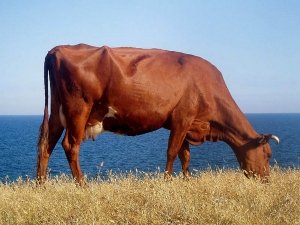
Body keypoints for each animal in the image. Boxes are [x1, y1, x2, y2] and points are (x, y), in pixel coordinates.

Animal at [37, 44, 278, 185]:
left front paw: (186, 181)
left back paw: (41, 185)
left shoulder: (185, 124)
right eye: (267, 154)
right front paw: (167, 181)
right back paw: (82, 185)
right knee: (70, 146)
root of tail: (58, 49)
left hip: (58, 112)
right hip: (78, 109)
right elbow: (172, 152)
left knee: (46, 144)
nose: (267, 180)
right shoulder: (182, 117)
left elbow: (185, 155)